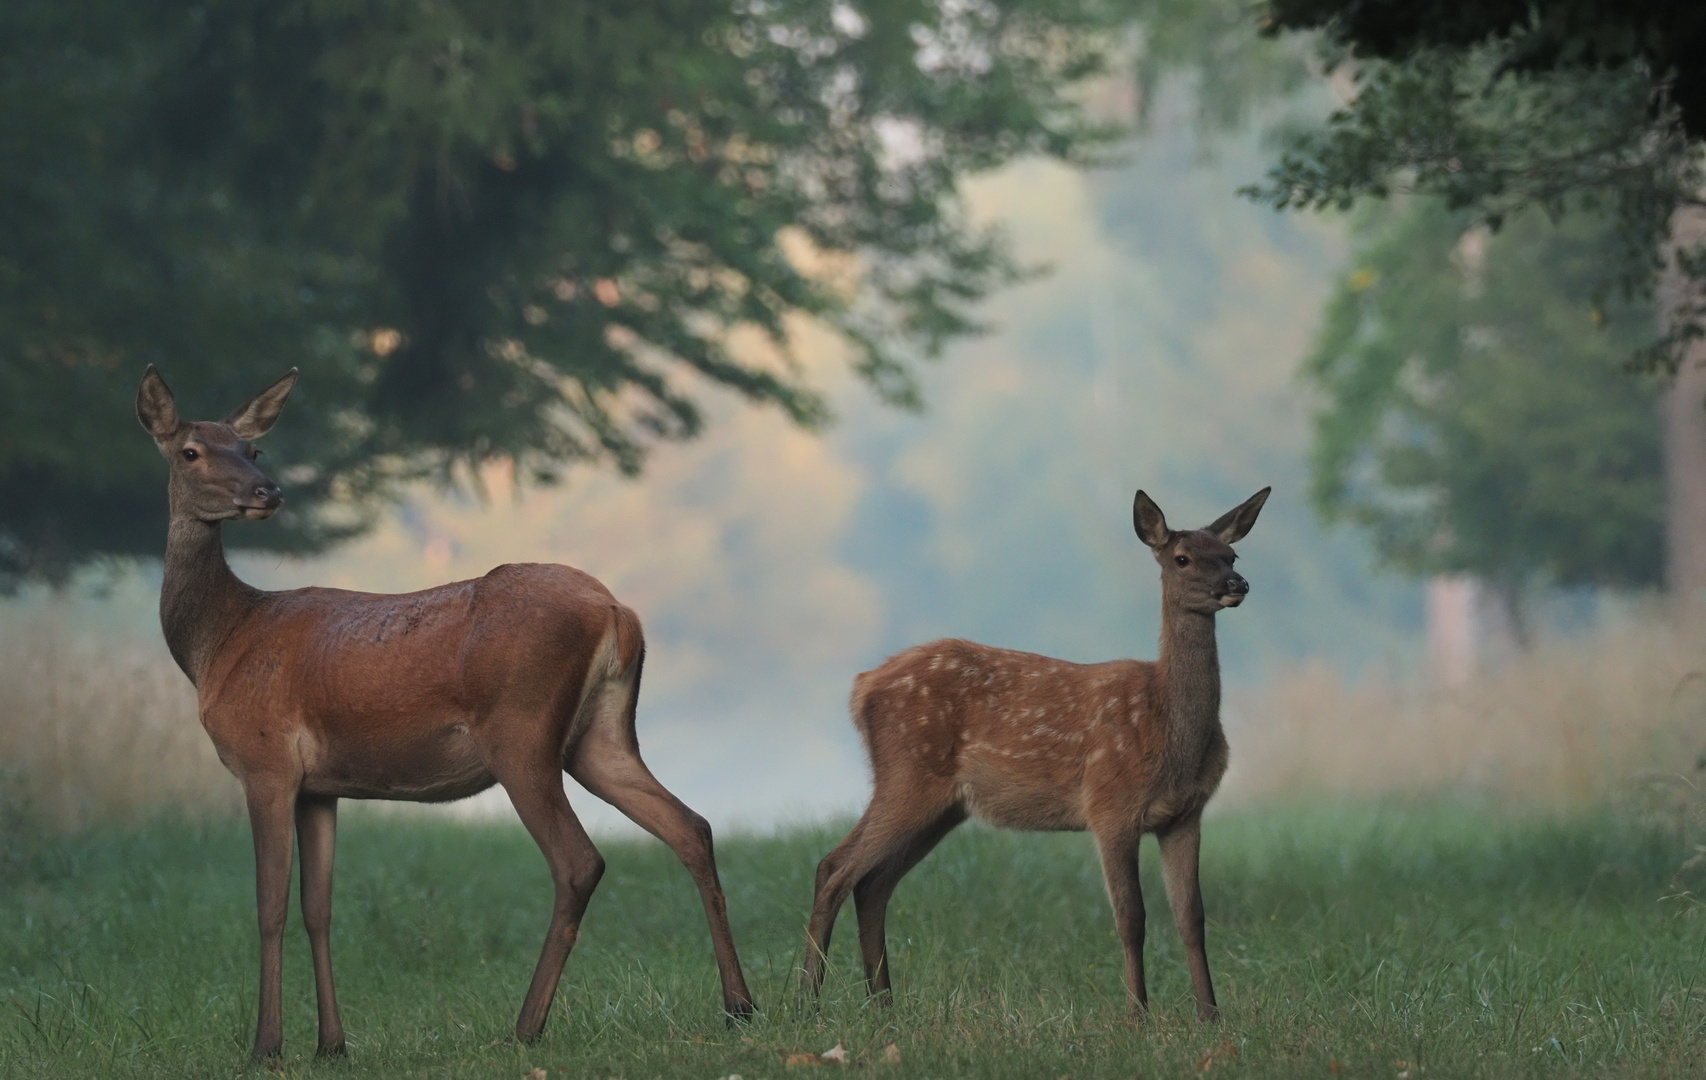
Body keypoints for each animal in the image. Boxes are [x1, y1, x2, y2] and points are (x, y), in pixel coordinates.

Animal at [127, 366, 754, 1057]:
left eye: (252, 449)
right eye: (193, 451)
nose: (269, 491)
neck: (220, 644)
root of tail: (619, 614)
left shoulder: (265, 760)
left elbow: (269, 905)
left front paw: (267, 1047)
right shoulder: (319, 786)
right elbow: (319, 907)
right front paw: (332, 1043)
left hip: (521, 730)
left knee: (579, 860)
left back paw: (527, 1025)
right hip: (601, 736)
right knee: (690, 826)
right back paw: (739, 1006)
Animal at [798, 484, 1269, 1016]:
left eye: (1231, 553)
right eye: (1182, 558)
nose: (1236, 583)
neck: (1170, 730)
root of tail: (861, 688)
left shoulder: (1185, 815)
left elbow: (1192, 916)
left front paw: (1210, 1015)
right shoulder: (1109, 804)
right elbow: (1131, 917)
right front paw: (1137, 1015)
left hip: (942, 805)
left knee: (874, 884)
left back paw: (883, 1005)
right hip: (907, 773)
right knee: (834, 868)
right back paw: (809, 1002)